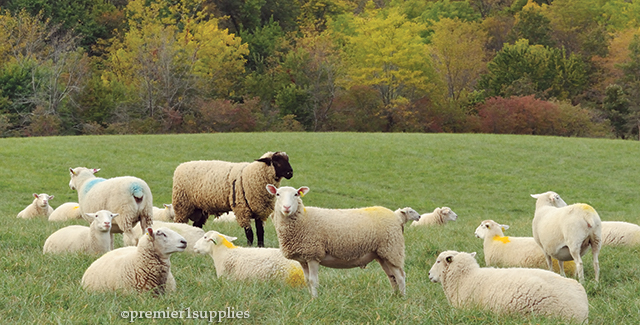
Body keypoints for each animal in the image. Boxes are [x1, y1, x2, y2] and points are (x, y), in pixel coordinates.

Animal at [268, 184, 408, 298]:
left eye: (296, 194)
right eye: (277, 194)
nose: (286, 207)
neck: (304, 218)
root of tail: (397, 216)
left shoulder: (313, 255)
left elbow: (313, 281)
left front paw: (315, 300)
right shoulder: (303, 258)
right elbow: (307, 280)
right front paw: (310, 298)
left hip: (392, 249)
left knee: (400, 276)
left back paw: (402, 298)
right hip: (383, 254)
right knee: (392, 276)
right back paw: (394, 296)